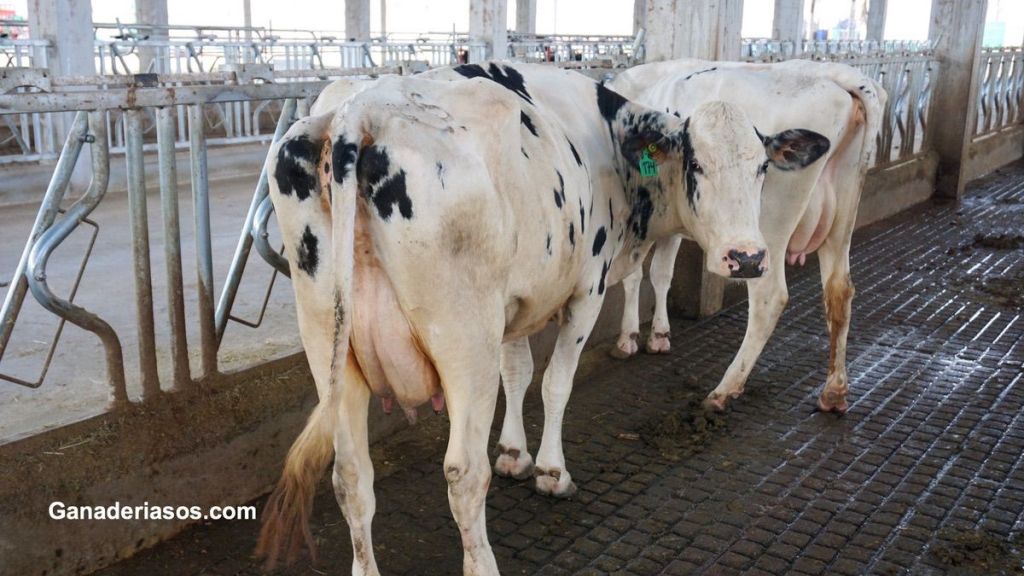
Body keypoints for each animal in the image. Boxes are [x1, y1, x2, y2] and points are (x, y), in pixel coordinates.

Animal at [257, 62, 831, 575]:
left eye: (761, 168)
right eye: (695, 165)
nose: (748, 257)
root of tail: (361, 110)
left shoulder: (515, 306)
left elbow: (519, 373)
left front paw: (515, 453)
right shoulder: (587, 289)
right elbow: (556, 382)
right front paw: (552, 471)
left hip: (328, 340)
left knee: (351, 476)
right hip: (464, 340)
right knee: (463, 473)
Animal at [604, 59, 885, 414]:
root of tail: (836, 75)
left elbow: (634, 275)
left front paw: (627, 339)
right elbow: (660, 273)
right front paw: (658, 335)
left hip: (767, 231)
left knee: (770, 297)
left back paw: (723, 390)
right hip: (842, 213)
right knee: (839, 290)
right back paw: (833, 392)